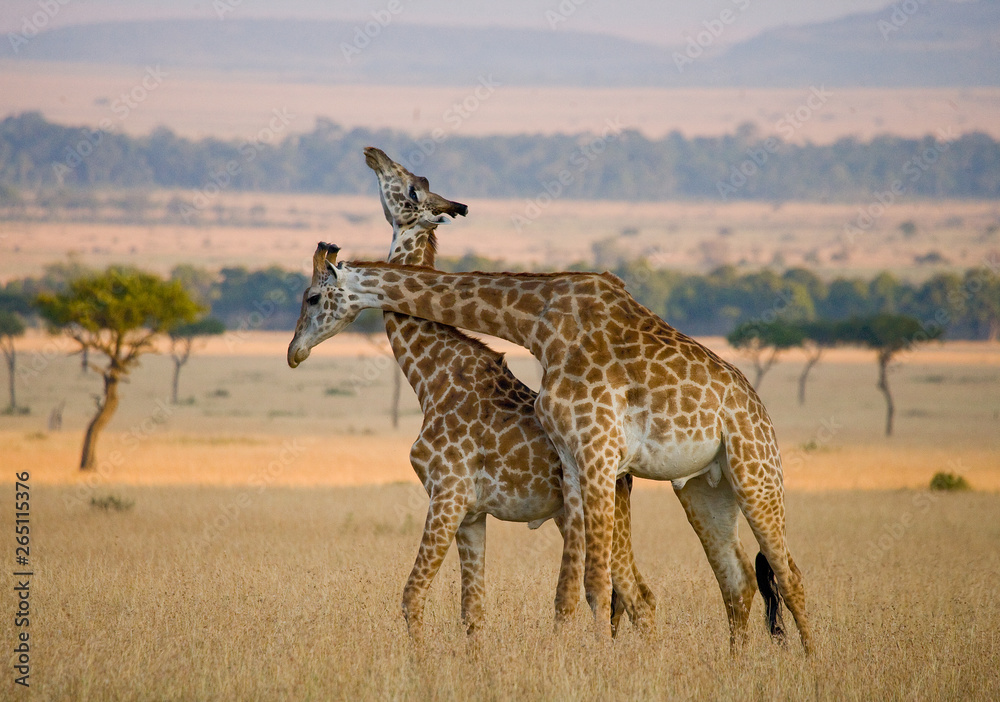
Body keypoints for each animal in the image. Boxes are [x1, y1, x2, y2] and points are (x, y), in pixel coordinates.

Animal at [287, 247, 813, 653]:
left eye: (312, 296)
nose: (294, 352)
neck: (537, 322)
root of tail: (759, 408)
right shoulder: (572, 462)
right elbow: (570, 590)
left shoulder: (594, 451)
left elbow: (595, 585)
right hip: (703, 488)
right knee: (737, 580)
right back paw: (735, 666)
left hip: (755, 472)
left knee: (788, 575)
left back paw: (811, 666)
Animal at [324, 147, 655, 640]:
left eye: (412, 188)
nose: (373, 153)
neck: (433, 381)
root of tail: (625, 471)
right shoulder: (470, 508)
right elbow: (472, 611)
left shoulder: (449, 492)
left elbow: (418, 595)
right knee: (632, 593)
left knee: (632, 595)